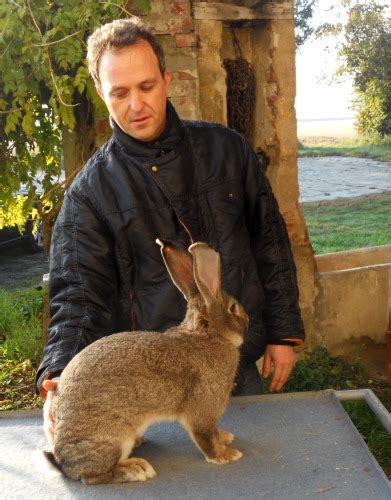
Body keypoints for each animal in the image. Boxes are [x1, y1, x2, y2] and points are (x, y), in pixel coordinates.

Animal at [46, 241, 248, 484]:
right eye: (233, 308)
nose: (248, 320)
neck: (209, 335)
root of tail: (64, 464)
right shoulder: (204, 408)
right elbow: (205, 436)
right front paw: (225, 455)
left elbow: (214, 432)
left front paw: (225, 438)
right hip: (112, 436)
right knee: (94, 476)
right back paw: (136, 468)